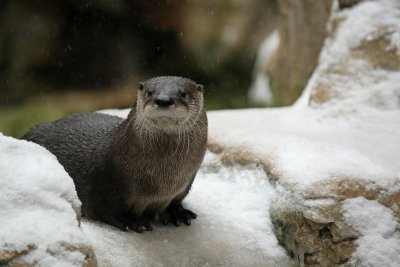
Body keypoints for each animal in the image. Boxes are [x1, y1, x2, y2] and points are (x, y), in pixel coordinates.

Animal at [21, 76, 208, 233]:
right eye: (149, 92)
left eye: (183, 94)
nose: (163, 100)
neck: (160, 182)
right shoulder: (106, 181)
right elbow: (107, 209)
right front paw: (131, 221)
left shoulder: (185, 183)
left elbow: (176, 200)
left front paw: (177, 212)